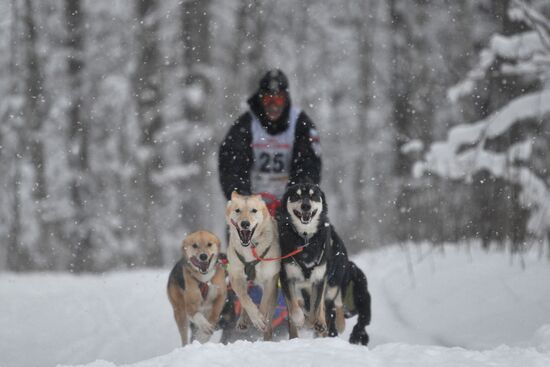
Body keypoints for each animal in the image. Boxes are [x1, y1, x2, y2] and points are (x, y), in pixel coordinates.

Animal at [226, 193, 282, 342]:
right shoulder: (236, 276)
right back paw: (243, 320)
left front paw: (260, 319)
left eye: (254, 210)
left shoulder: (269, 280)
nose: (245, 223)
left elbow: (264, 305)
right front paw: (254, 317)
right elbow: (245, 299)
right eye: (237, 210)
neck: (251, 247)